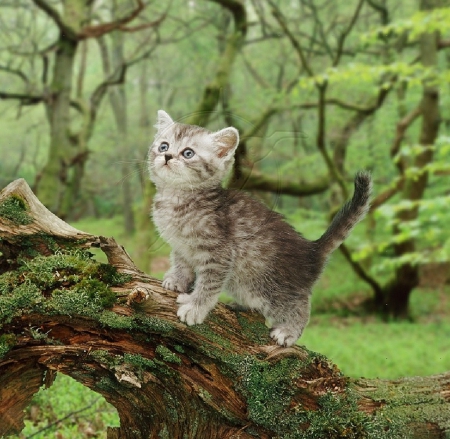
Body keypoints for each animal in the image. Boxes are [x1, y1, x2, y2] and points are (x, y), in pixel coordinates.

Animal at [149, 109, 372, 348]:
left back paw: (289, 331)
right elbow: (182, 263)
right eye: (163, 146)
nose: (167, 156)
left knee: (301, 307)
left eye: (188, 153)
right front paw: (177, 280)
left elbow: (209, 284)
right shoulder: (181, 246)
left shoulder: (220, 253)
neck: (177, 198)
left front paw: (195, 307)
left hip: (273, 288)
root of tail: (311, 250)